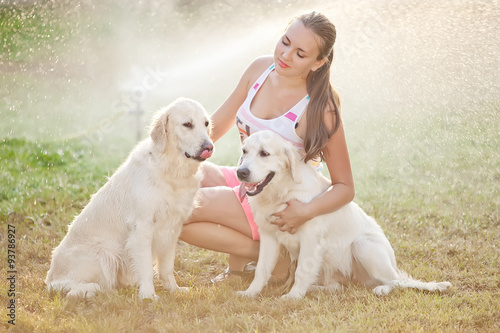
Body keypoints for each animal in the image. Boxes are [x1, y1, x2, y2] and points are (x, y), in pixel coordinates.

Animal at [44, 97, 213, 300]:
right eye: (187, 124)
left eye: (206, 124)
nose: (209, 147)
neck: (170, 170)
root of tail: (50, 279)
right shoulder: (142, 227)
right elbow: (147, 268)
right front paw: (148, 296)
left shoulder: (172, 228)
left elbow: (166, 267)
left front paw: (174, 289)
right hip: (104, 255)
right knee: (72, 287)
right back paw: (90, 289)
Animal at [236, 130, 452, 298]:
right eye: (244, 151)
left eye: (264, 153)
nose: (241, 172)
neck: (283, 191)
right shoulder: (269, 236)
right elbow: (262, 269)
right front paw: (250, 293)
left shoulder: (310, 238)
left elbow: (302, 271)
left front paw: (293, 297)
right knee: (337, 287)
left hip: (363, 245)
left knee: (396, 281)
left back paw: (382, 289)